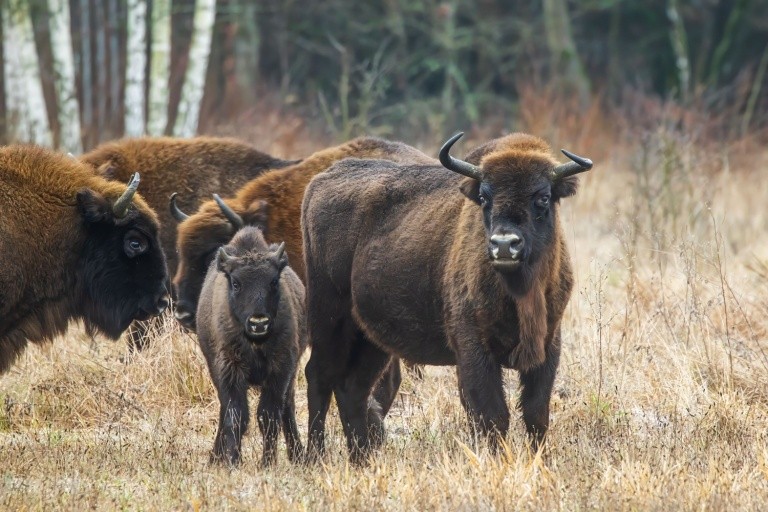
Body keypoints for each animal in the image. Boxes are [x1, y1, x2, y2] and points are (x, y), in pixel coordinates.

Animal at [195, 226, 306, 466]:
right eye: (236, 283)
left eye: (273, 281)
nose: (259, 322)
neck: (256, 343)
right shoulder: (230, 368)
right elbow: (236, 415)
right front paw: (233, 462)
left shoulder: (281, 368)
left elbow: (269, 415)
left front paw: (267, 463)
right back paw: (215, 457)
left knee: (287, 408)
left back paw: (299, 455)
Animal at [302, 133, 592, 464]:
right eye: (485, 197)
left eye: (543, 197)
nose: (504, 245)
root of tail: (321, 180)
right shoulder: (473, 348)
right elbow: (493, 415)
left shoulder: (548, 345)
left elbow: (535, 414)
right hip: (329, 320)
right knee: (319, 376)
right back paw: (314, 457)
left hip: (370, 339)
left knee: (353, 388)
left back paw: (362, 460)